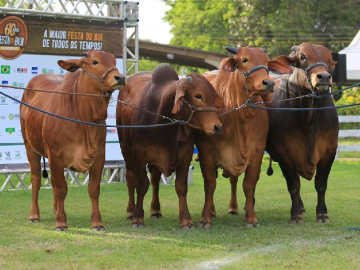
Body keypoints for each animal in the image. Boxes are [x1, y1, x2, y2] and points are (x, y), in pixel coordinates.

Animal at [21, 50, 126, 230]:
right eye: (95, 61)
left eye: (114, 61)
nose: (120, 77)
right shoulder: (56, 154)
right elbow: (62, 189)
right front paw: (61, 222)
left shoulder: (99, 156)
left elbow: (93, 190)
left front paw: (97, 222)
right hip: (30, 146)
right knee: (36, 179)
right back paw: (34, 215)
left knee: (53, 182)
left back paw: (55, 209)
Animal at [116, 63, 222, 230]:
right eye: (198, 96)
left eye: (213, 96)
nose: (217, 127)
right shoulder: (139, 154)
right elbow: (141, 185)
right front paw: (138, 218)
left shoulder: (186, 155)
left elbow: (181, 187)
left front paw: (186, 220)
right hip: (125, 148)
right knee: (130, 177)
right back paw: (130, 211)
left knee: (155, 179)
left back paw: (155, 210)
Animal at [194, 47, 286, 228]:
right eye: (244, 59)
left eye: (266, 61)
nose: (269, 83)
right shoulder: (206, 152)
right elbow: (210, 185)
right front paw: (205, 218)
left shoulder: (257, 152)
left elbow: (249, 185)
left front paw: (251, 218)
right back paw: (213, 211)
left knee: (234, 181)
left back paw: (233, 208)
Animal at [264, 43, 338, 224]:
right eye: (303, 57)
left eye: (329, 60)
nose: (324, 77)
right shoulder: (284, 153)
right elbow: (294, 185)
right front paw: (296, 214)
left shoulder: (330, 150)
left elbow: (321, 184)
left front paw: (322, 214)